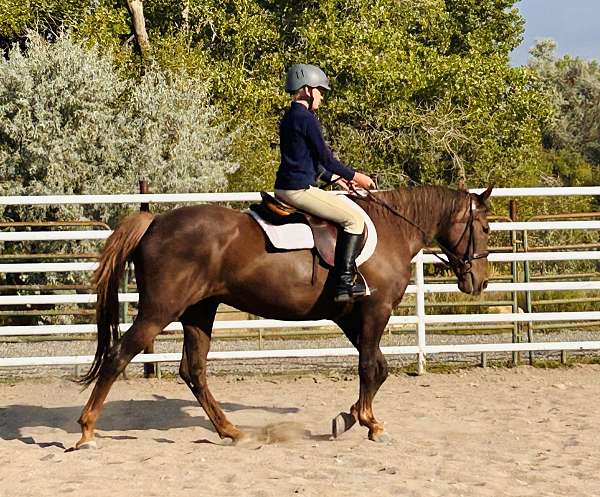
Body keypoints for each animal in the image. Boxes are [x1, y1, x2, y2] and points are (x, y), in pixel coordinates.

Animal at [71, 184, 492, 448]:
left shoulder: (351, 317)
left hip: (199, 311)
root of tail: (155, 222)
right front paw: (370, 424)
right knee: (118, 357)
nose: (480, 281)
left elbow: (378, 367)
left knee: (194, 371)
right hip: (160, 311)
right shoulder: (375, 310)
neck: (392, 229)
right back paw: (87, 432)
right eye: (486, 227)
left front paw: (353, 416)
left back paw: (231, 431)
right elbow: (371, 368)